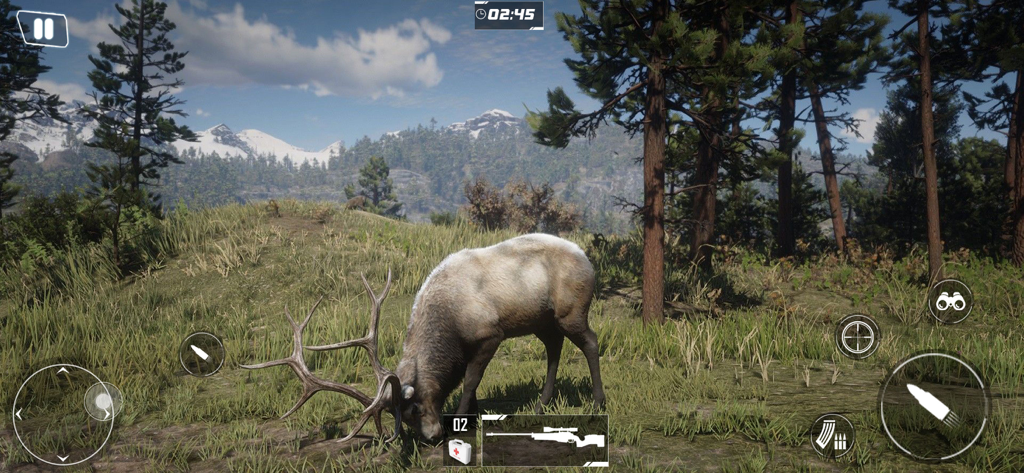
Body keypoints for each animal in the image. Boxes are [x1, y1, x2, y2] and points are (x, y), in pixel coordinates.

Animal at [242, 233, 605, 443]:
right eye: (399, 416)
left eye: (414, 409)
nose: (431, 437)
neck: (449, 322)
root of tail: (589, 260)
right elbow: (471, 383)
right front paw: (471, 418)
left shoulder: (491, 334)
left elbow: (470, 380)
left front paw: (460, 421)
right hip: (542, 320)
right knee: (554, 347)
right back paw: (542, 405)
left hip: (571, 310)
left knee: (590, 341)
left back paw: (597, 403)